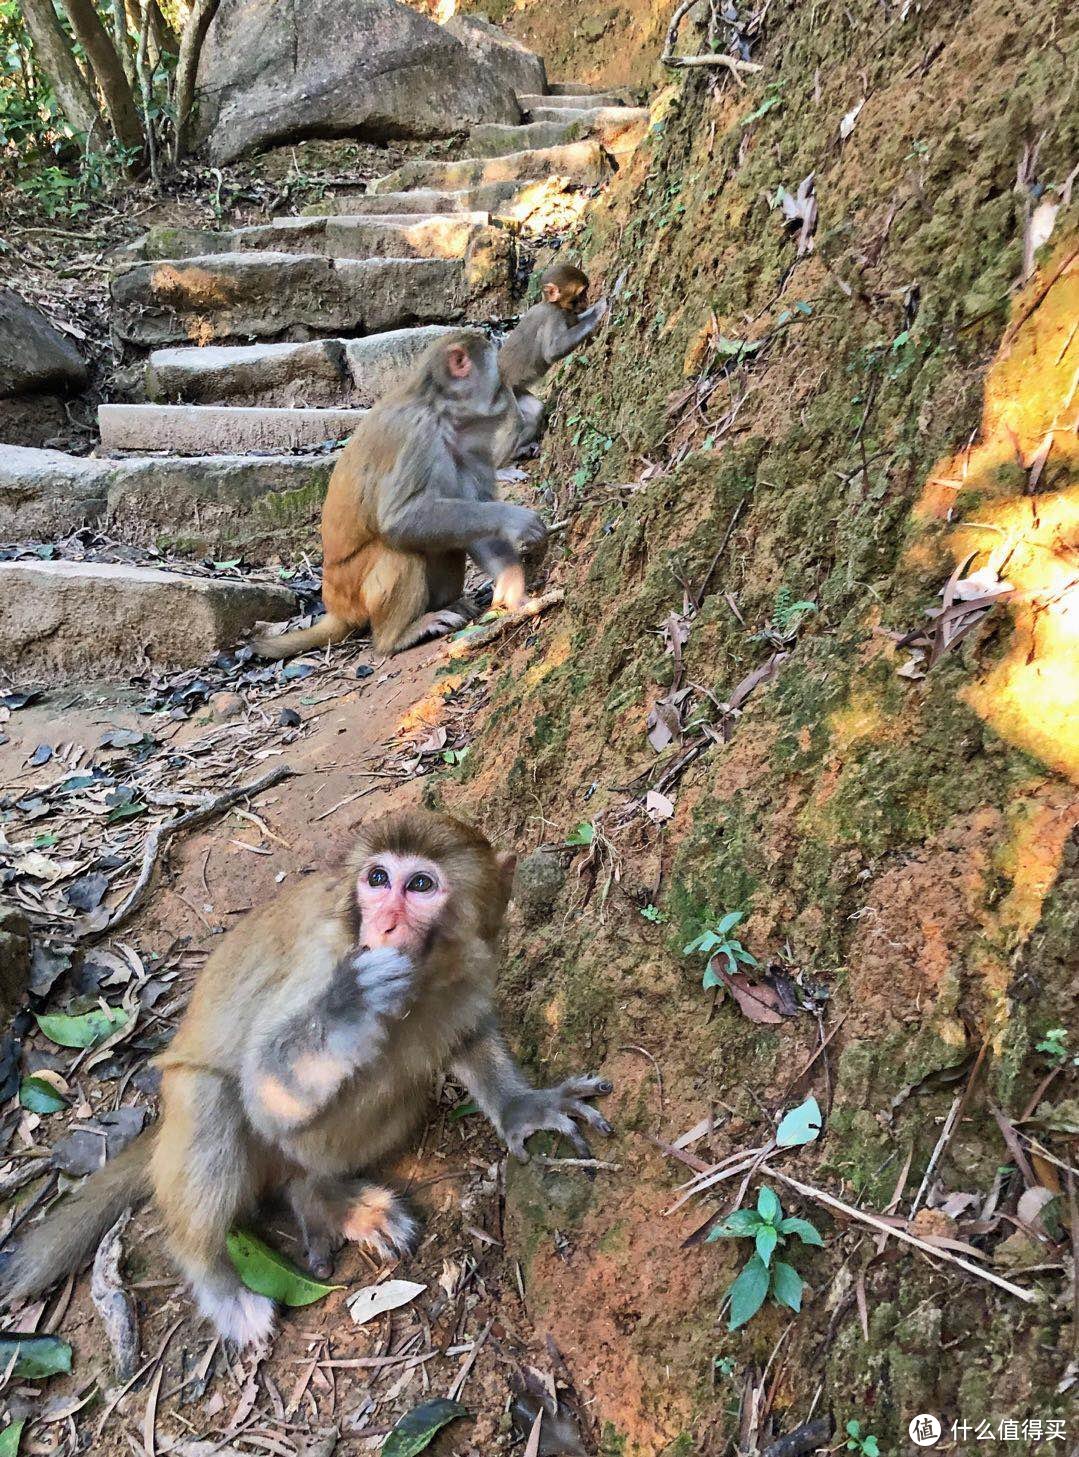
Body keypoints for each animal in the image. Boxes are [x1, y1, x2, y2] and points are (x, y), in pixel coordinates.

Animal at [0, 810, 611, 1340]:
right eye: (377, 879)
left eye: (420, 885)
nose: (385, 923)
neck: (427, 974)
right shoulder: (322, 960)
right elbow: (263, 1089)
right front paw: (349, 1004)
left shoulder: (472, 964)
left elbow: (468, 1034)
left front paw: (522, 1107)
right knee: (215, 1096)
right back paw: (217, 1279)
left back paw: (318, 1195)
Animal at [254, 330, 547, 661]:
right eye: (498, 366)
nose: (513, 389)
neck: (441, 411)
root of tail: (335, 605)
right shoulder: (417, 434)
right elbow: (398, 519)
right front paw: (514, 519)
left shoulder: (470, 449)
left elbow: (480, 529)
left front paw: (512, 586)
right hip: (352, 593)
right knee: (398, 550)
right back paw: (397, 637)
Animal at [495, 262, 605, 460]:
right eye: (580, 294)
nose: (586, 301)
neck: (550, 303)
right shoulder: (554, 317)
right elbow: (552, 352)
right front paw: (598, 312)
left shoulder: (567, 314)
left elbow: (576, 320)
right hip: (503, 399)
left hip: (516, 391)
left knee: (534, 410)